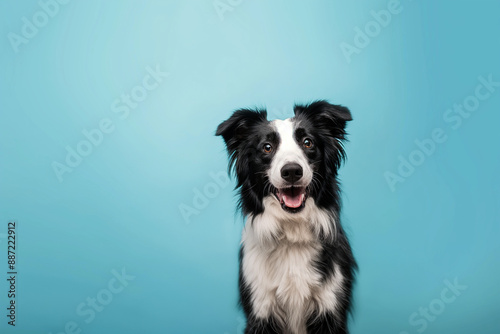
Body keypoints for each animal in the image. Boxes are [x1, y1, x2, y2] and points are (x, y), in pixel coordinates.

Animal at [216, 100, 356, 332]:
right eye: (267, 147)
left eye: (307, 143)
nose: (291, 171)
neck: (292, 233)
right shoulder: (261, 309)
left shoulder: (330, 306)